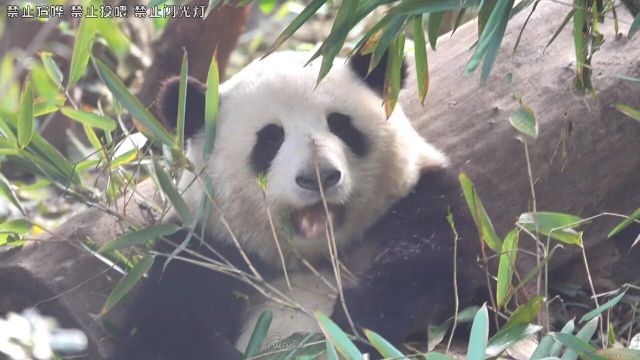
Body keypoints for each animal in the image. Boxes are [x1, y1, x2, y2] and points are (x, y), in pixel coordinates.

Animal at [115, 50, 484, 360]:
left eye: (340, 124)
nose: (319, 176)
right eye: (270, 138)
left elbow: (447, 275)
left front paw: (359, 319)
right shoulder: (206, 249)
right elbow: (161, 331)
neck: (318, 255)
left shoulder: (422, 198)